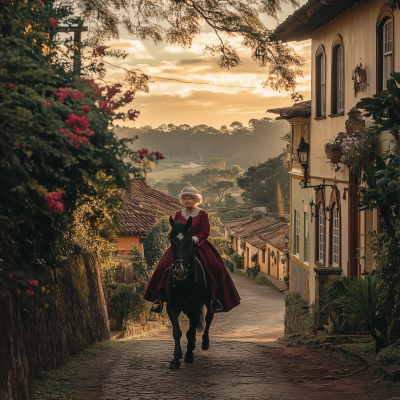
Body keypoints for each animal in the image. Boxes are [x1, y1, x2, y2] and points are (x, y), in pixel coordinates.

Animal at [166, 216, 216, 368]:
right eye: (172, 243)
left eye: (189, 243)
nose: (180, 272)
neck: (183, 284)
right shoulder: (171, 307)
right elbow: (177, 332)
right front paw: (176, 358)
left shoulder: (195, 308)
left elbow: (190, 331)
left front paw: (188, 355)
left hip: (208, 301)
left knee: (209, 317)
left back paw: (204, 342)